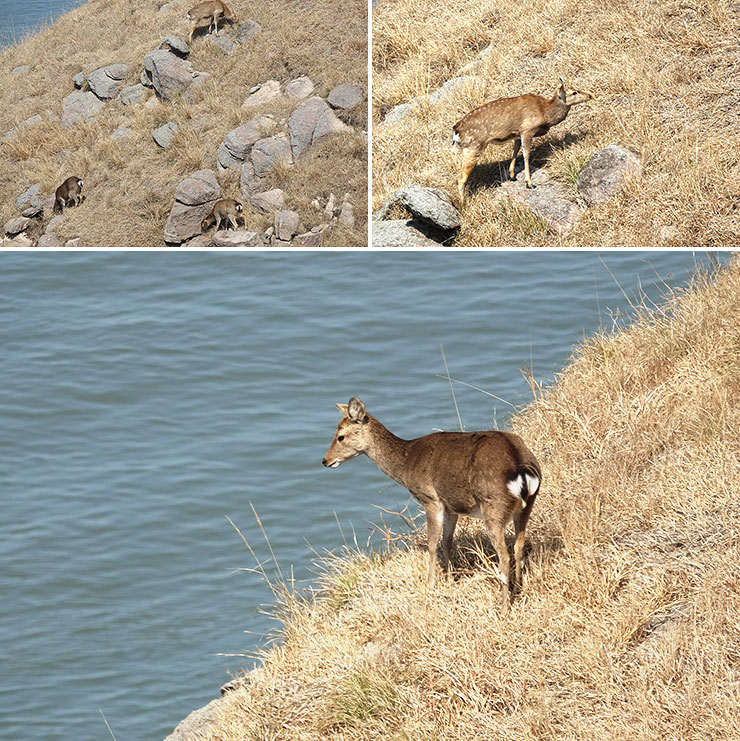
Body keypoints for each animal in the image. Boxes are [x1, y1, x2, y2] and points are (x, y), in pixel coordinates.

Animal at [320, 396, 540, 608]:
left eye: (340, 436)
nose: (325, 460)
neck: (407, 461)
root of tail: (522, 468)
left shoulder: (430, 499)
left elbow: (432, 544)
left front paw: (430, 584)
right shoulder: (451, 506)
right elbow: (447, 541)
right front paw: (449, 579)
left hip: (492, 505)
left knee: (504, 554)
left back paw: (503, 606)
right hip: (527, 505)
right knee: (519, 545)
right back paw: (518, 589)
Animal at [448, 77, 592, 202]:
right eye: (574, 92)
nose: (590, 95)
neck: (544, 113)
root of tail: (456, 131)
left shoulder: (517, 133)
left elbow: (516, 150)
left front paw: (512, 175)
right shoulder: (527, 129)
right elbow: (526, 154)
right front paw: (529, 183)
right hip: (474, 146)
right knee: (461, 177)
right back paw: (463, 203)